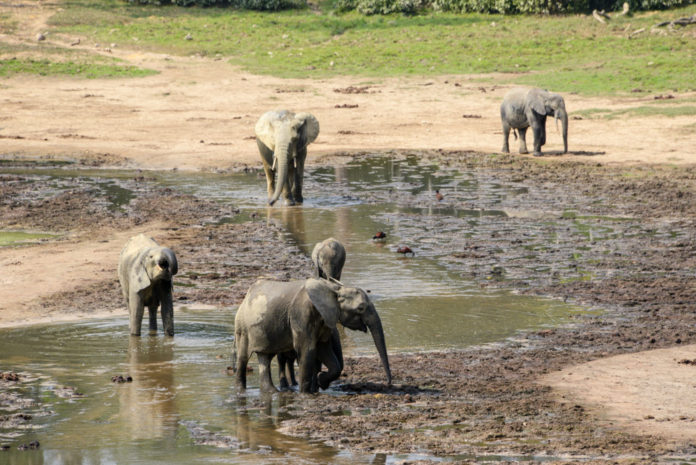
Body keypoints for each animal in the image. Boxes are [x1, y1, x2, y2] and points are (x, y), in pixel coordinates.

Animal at [231, 278, 388, 394]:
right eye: (361, 308)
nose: (388, 383)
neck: (334, 289)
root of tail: (246, 297)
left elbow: (324, 351)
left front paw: (321, 381)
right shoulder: (302, 314)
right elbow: (308, 350)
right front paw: (306, 394)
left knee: (265, 357)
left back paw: (272, 392)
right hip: (242, 326)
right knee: (243, 358)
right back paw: (241, 391)